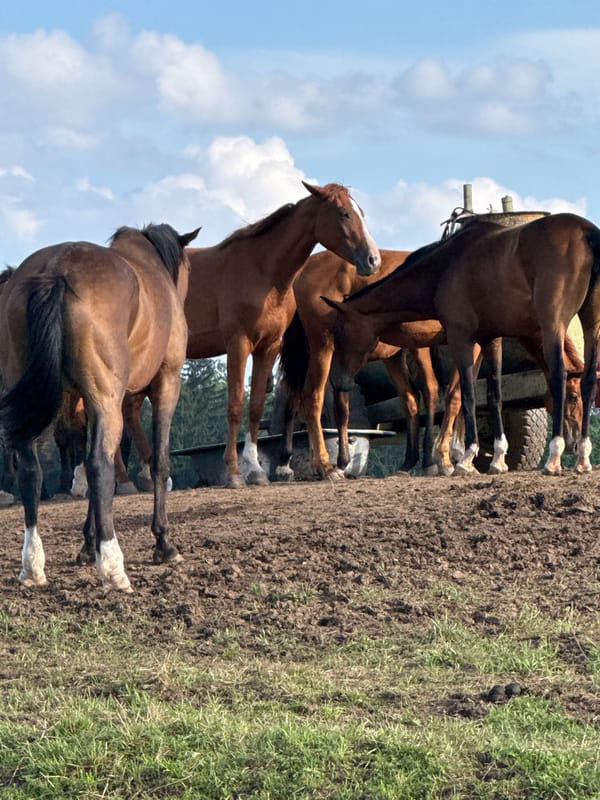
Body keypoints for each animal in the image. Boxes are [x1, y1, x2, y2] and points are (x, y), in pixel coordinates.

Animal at [0, 222, 200, 591]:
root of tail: (57, 268)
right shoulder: (165, 384)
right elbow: (158, 461)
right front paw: (164, 544)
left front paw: (86, 544)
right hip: (106, 400)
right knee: (98, 465)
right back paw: (112, 566)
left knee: (31, 470)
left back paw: (33, 564)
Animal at [182, 180, 380, 488]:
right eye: (344, 213)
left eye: (361, 212)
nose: (373, 260)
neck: (262, 272)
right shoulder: (238, 345)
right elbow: (236, 405)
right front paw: (234, 472)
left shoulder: (268, 347)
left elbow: (255, 406)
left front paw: (255, 470)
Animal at [323, 213, 600, 475]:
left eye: (339, 330)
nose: (337, 380)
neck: (446, 266)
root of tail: (586, 232)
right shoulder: (490, 339)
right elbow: (493, 395)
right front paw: (497, 458)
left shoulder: (461, 338)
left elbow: (466, 394)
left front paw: (465, 458)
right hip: (591, 325)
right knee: (588, 379)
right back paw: (583, 458)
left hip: (553, 325)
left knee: (558, 375)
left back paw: (555, 457)